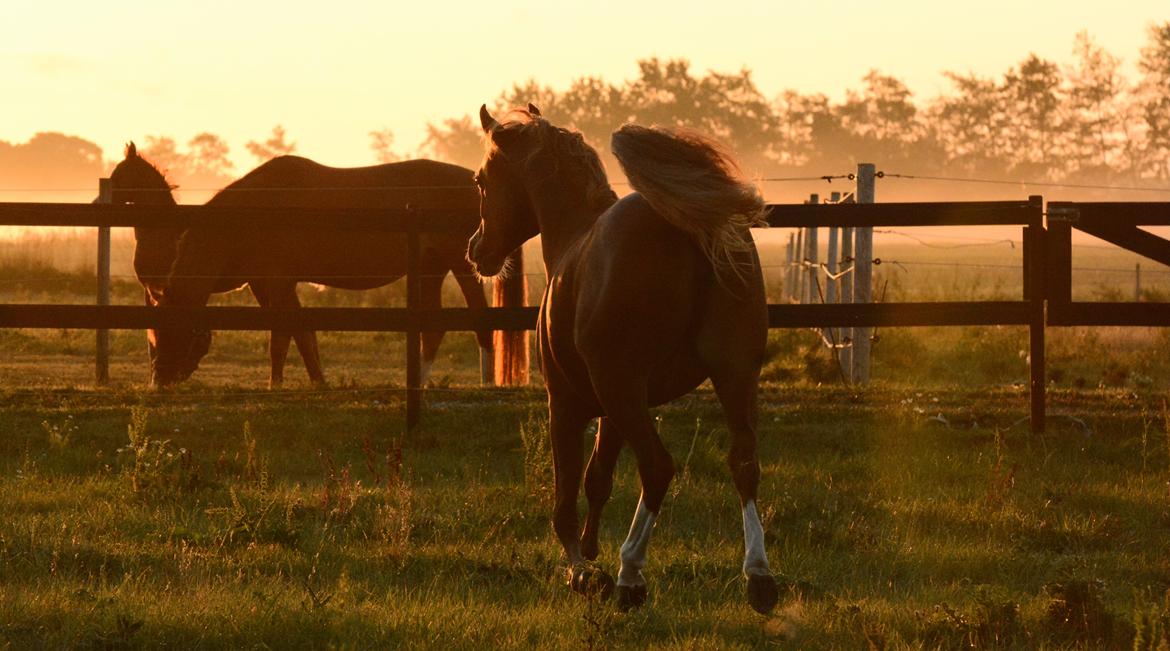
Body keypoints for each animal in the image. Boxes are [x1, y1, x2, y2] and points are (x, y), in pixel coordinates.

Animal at [112, 145, 512, 384]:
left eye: (172, 330)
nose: (159, 380)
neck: (250, 215)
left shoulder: (277, 282)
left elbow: (287, 336)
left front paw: (288, 385)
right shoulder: (264, 284)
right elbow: (296, 336)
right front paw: (308, 382)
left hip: (463, 266)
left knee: (479, 319)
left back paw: (486, 382)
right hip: (431, 267)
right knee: (433, 328)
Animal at [465, 104, 776, 613]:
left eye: (481, 180)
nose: (477, 250)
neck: (574, 235)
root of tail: (682, 226)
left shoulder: (567, 404)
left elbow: (566, 496)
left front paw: (582, 571)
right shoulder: (611, 410)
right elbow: (598, 480)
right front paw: (591, 553)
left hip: (626, 388)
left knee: (658, 467)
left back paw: (631, 575)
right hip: (733, 376)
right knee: (744, 463)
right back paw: (759, 578)